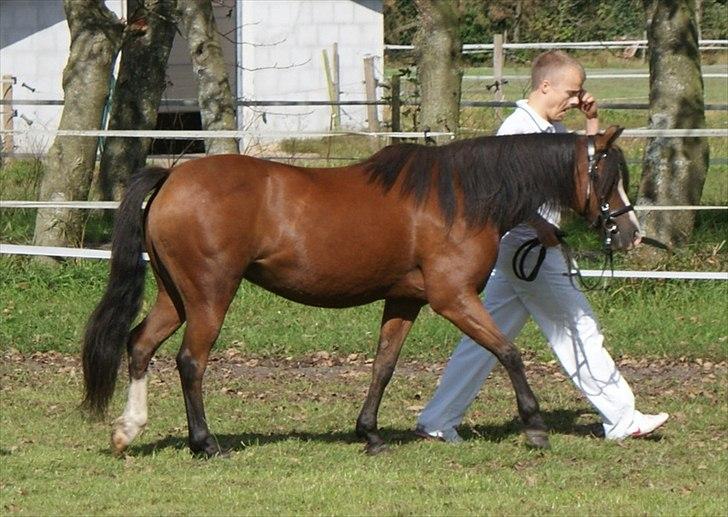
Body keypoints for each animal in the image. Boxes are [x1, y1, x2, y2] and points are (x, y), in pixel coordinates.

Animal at [82, 125, 636, 456]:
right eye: (608, 177)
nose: (629, 232)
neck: (460, 197)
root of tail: (172, 177)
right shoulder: (453, 299)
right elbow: (508, 352)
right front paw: (535, 425)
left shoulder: (405, 300)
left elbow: (384, 366)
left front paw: (369, 433)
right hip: (209, 296)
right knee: (190, 361)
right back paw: (205, 442)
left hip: (175, 295)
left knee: (140, 345)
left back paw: (128, 429)